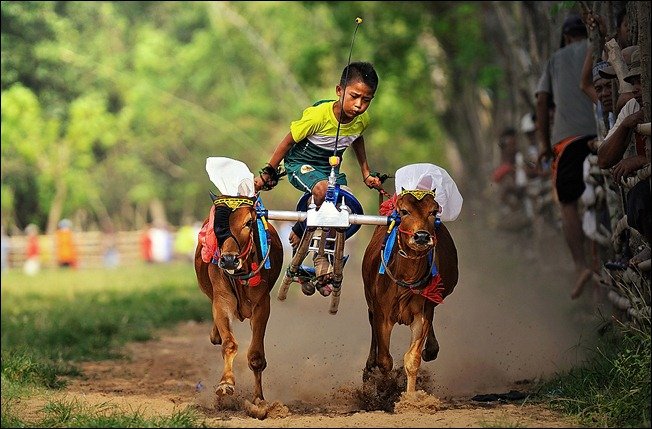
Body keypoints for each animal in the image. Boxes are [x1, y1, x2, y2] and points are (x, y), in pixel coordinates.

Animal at [196, 194, 282, 402]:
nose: (228, 260)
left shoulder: (262, 304)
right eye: (218, 224)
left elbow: (256, 356)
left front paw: (259, 399)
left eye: (248, 222)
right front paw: (225, 383)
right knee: (217, 337)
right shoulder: (222, 302)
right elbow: (229, 344)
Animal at [362, 189, 458, 396]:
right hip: (371, 304)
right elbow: (384, 361)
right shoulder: (382, 315)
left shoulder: (422, 315)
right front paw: (384, 389)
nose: (421, 236)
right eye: (404, 211)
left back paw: (431, 348)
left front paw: (410, 398)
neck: (405, 280)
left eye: (433, 211)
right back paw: (369, 370)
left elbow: (412, 359)